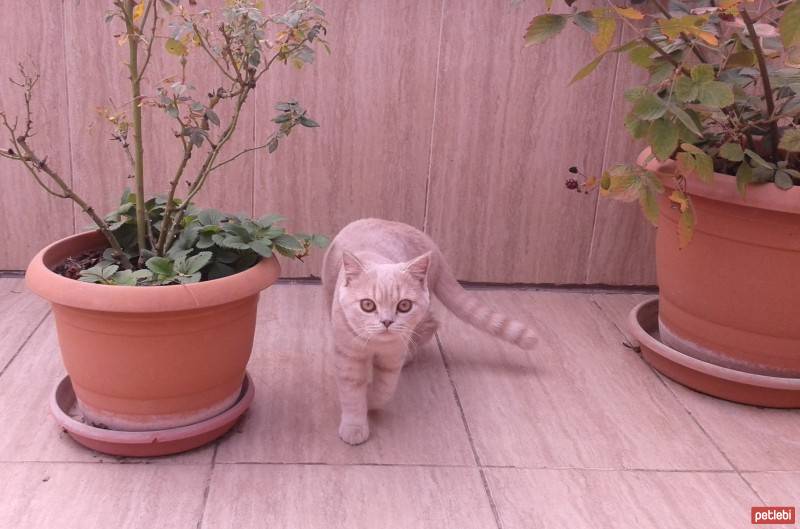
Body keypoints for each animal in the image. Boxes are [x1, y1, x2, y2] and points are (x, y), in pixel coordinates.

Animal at [320, 217, 536, 444]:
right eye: (368, 305)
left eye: (404, 305)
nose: (387, 321)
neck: (376, 346)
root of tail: (431, 244)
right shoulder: (348, 357)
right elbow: (352, 394)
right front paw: (354, 426)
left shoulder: (392, 358)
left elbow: (385, 388)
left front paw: (371, 401)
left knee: (430, 325)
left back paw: (409, 356)